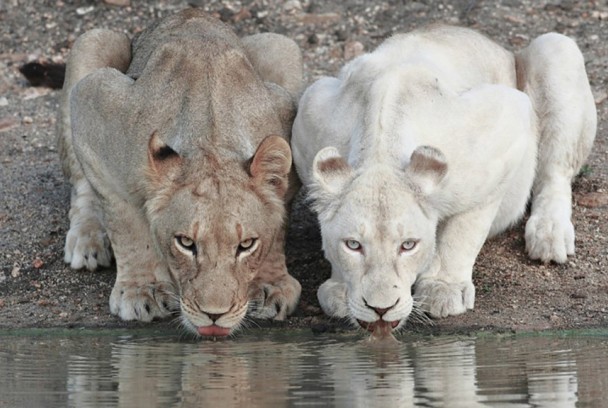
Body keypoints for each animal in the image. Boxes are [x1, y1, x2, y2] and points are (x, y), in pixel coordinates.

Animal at [59, 8, 302, 338]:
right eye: (186, 243)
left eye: (246, 245)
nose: (215, 315)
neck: (211, 138)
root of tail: (188, 11)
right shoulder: (94, 101)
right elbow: (125, 222)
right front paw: (142, 289)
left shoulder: (287, 116)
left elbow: (278, 224)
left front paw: (269, 284)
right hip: (93, 41)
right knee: (81, 185)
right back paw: (86, 241)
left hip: (281, 45)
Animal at [292, 26, 596, 338]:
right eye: (353, 245)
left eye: (408, 245)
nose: (381, 309)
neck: (380, 148)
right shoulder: (309, 113)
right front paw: (339, 289)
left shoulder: (506, 126)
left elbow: (463, 231)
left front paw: (443, 289)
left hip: (556, 49)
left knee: (555, 172)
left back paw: (549, 235)